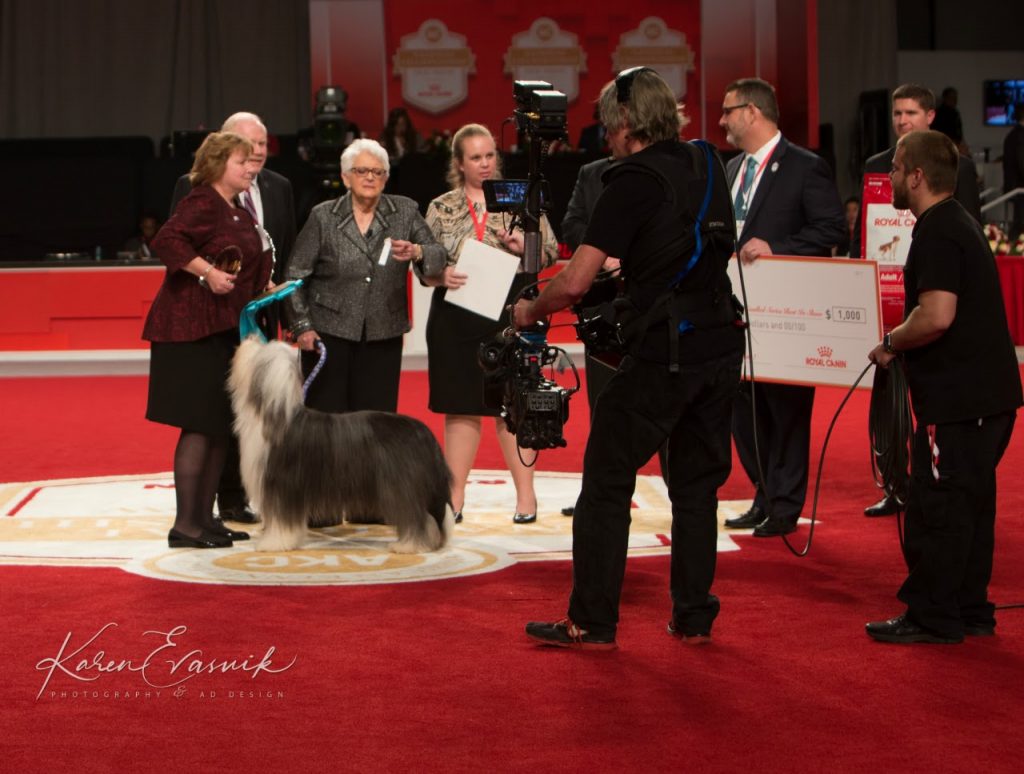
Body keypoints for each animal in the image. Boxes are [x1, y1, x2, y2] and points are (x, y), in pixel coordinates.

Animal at [232, 337, 456, 548]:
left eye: (258, 350)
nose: (250, 337)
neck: (273, 414)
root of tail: (425, 432)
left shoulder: (281, 485)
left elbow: (280, 520)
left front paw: (273, 543)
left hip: (401, 485)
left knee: (416, 515)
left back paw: (408, 546)